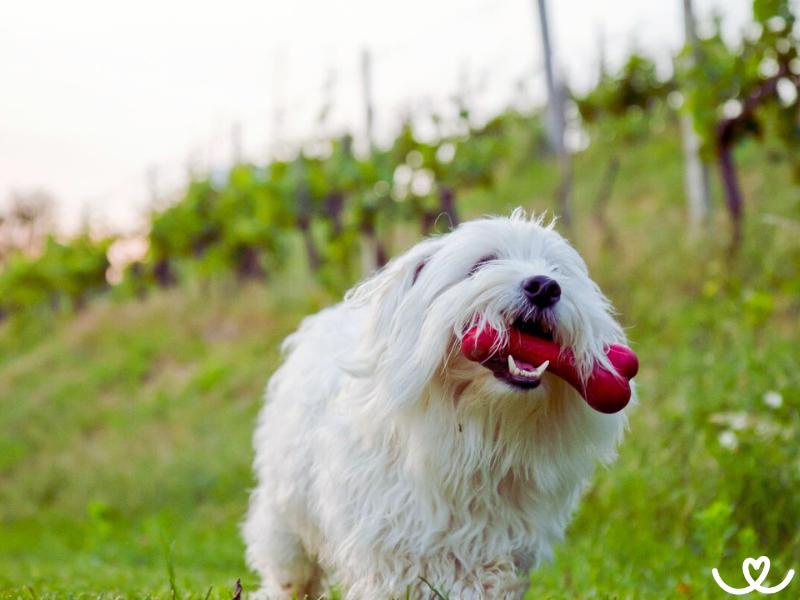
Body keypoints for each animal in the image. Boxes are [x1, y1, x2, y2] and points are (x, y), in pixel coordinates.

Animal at [242, 209, 632, 596]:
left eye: (557, 270)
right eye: (482, 263)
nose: (545, 287)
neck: (475, 427)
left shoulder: (497, 550)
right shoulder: (389, 544)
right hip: (285, 516)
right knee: (290, 572)